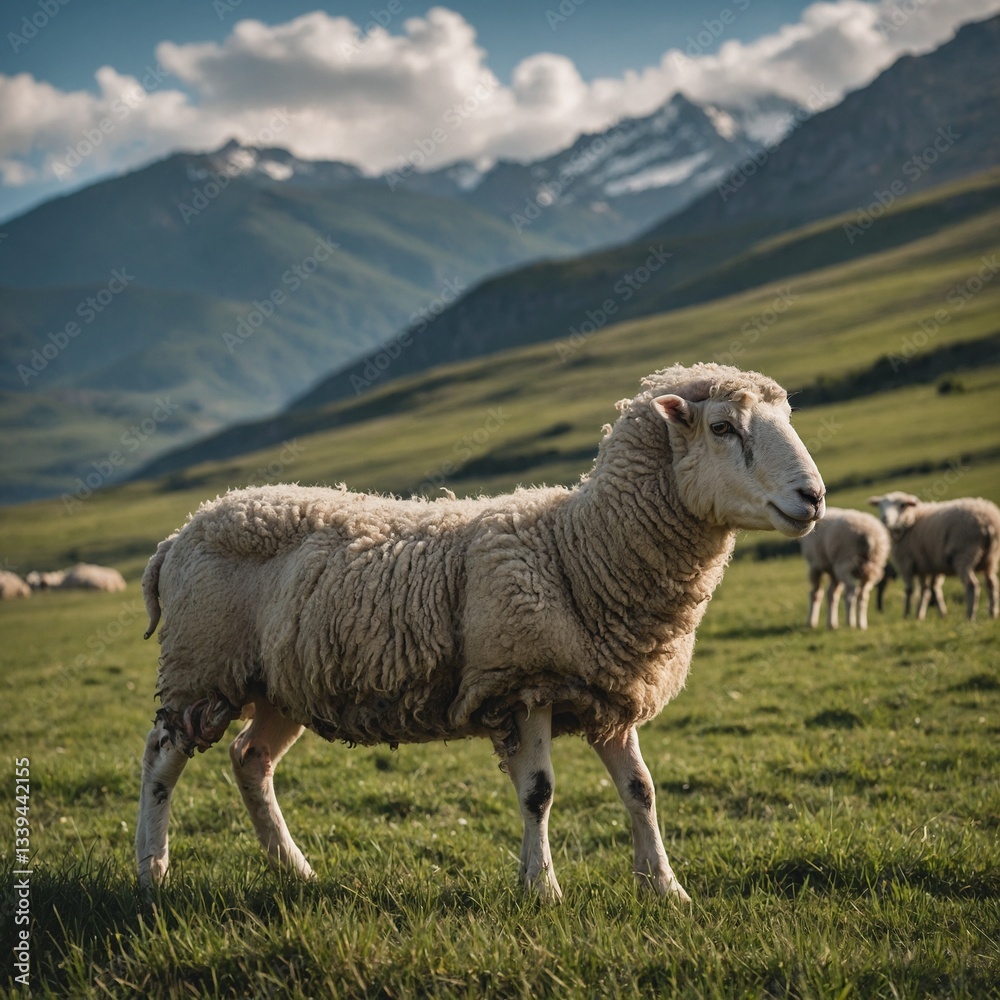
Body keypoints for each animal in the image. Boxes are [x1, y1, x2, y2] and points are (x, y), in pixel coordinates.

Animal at [136, 362, 825, 902]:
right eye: (722, 428)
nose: (815, 497)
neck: (580, 547)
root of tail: (181, 532)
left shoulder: (608, 693)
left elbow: (642, 792)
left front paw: (666, 890)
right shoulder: (522, 685)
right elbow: (539, 794)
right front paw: (542, 890)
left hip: (277, 684)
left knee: (249, 759)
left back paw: (294, 870)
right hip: (201, 668)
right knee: (160, 758)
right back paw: (151, 870)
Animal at [868, 492, 1000, 621]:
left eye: (902, 505)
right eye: (881, 505)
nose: (884, 518)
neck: (913, 519)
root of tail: (988, 521)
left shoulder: (906, 562)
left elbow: (910, 590)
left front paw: (907, 614)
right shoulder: (926, 564)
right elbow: (928, 589)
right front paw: (929, 614)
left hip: (964, 553)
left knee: (971, 585)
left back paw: (970, 616)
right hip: (990, 559)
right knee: (992, 584)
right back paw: (992, 613)